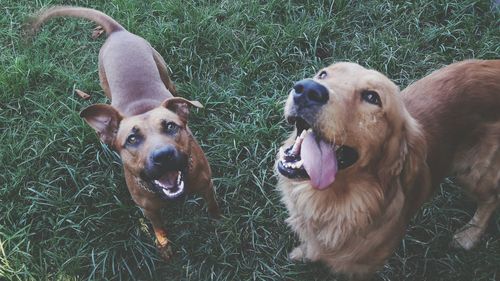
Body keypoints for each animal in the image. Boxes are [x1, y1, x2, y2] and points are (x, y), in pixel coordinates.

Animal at [29, 6, 219, 260]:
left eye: (171, 126)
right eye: (132, 139)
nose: (163, 156)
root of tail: (117, 32)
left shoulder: (208, 186)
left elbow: (213, 207)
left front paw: (219, 222)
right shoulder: (148, 210)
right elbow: (159, 229)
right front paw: (164, 247)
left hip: (163, 70)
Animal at [278, 60, 500, 278]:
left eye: (372, 97)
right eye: (323, 74)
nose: (307, 89)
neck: (334, 203)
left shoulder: (364, 269)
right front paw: (302, 253)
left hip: (472, 173)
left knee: (491, 198)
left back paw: (469, 235)